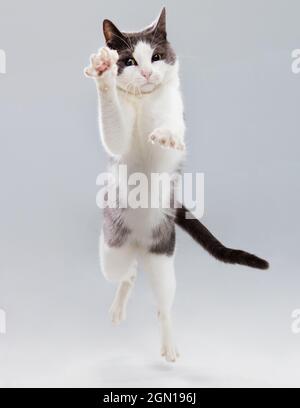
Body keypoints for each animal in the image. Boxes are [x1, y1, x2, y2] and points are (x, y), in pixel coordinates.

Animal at [84, 7, 268, 364]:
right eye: (129, 61)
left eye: (156, 57)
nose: (145, 73)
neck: (143, 103)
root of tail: (140, 245)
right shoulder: (118, 140)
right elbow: (114, 132)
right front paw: (102, 73)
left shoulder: (173, 113)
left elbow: (170, 135)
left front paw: (166, 134)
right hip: (112, 251)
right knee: (125, 274)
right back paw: (119, 307)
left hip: (162, 256)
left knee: (163, 303)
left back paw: (168, 345)